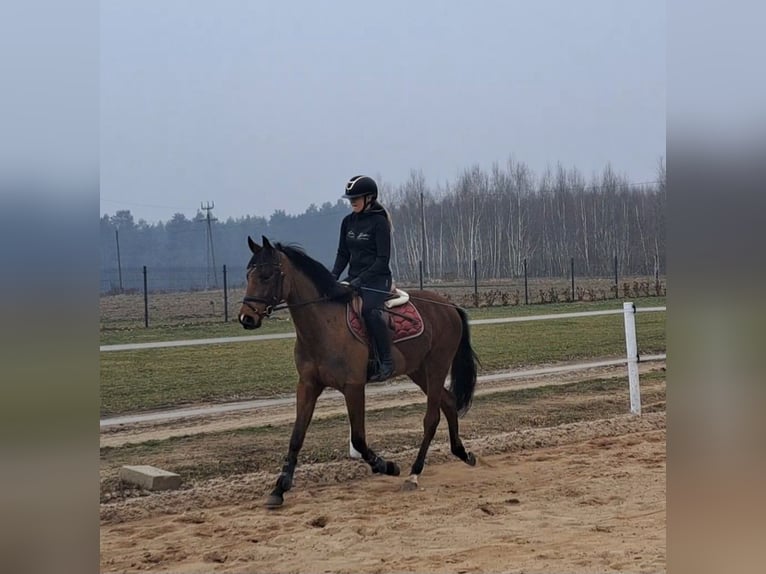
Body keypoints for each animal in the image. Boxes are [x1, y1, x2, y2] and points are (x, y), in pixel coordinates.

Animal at [240, 236, 480, 510]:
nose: (246, 318)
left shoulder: (353, 387)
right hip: (419, 371)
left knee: (431, 418)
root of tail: (448, 305)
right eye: (248, 274)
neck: (324, 325)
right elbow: (296, 437)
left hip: (436, 366)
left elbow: (358, 438)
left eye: (267, 275)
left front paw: (387, 465)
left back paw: (414, 473)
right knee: (448, 401)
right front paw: (279, 488)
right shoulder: (308, 386)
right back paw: (462, 453)